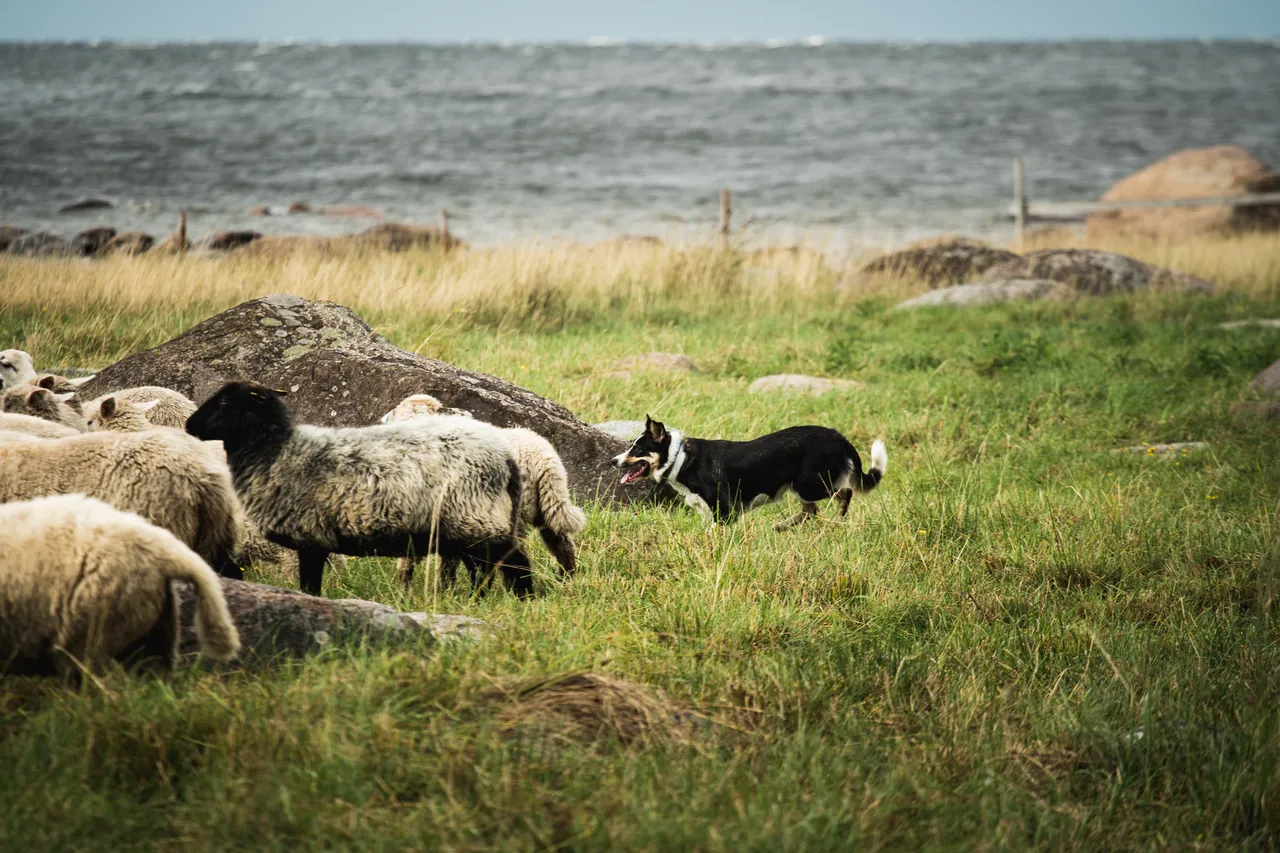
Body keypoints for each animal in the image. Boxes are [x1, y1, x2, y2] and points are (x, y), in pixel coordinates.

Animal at [186, 381, 533, 597]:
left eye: (226, 401)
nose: (189, 425)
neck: (276, 450)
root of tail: (505, 455)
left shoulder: (310, 536)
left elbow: (310, 584)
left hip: (477, 517)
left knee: (514, 561)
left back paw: (524, 599)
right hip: (466, 526)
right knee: (483, 568)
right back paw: (479, 599)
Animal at [381, 394, 587, 587]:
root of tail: (543, 458)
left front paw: (407, 590)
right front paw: (445, 589)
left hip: (512, 512)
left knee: (515, 555)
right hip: (545, 505)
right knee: (562, 544)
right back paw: (566, 579)